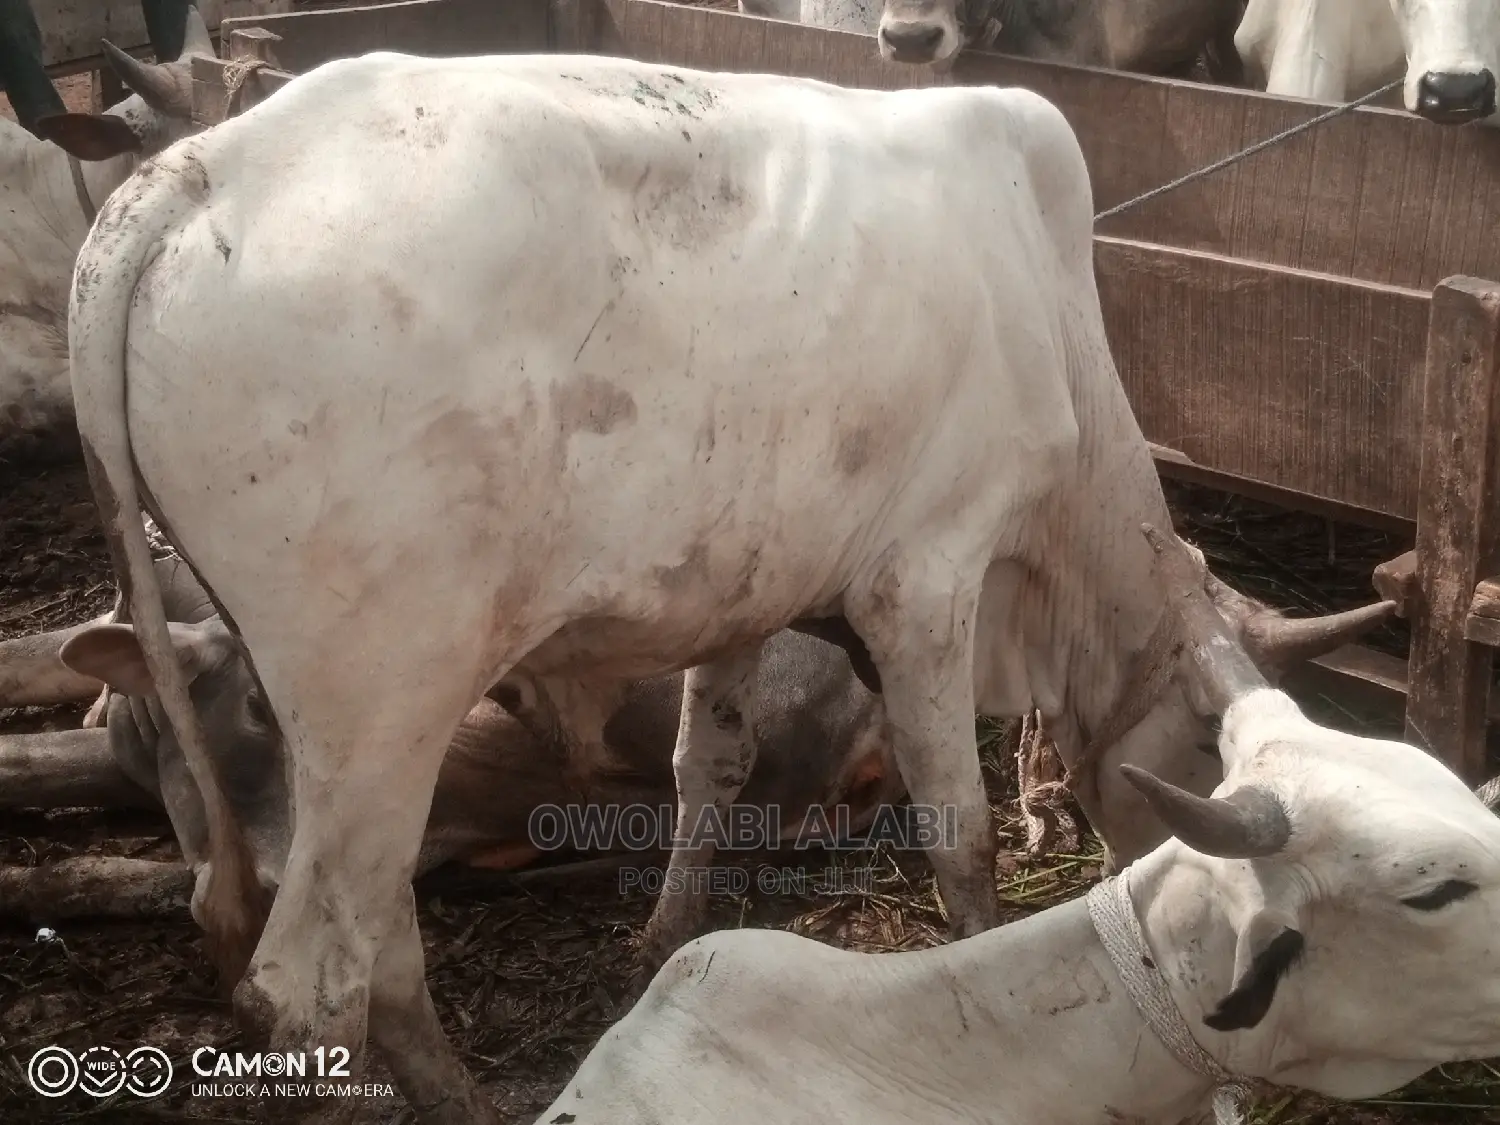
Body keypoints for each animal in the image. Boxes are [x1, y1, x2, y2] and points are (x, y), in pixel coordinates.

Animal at [63, 51, 1393, 1123]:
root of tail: (194, 171)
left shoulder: (745, 591)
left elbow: (707, 767)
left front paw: (660, 930)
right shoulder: (927, 579)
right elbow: (956, 828)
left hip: (340, 725)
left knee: (376, 934)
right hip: (387, 689)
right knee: (310, 985)